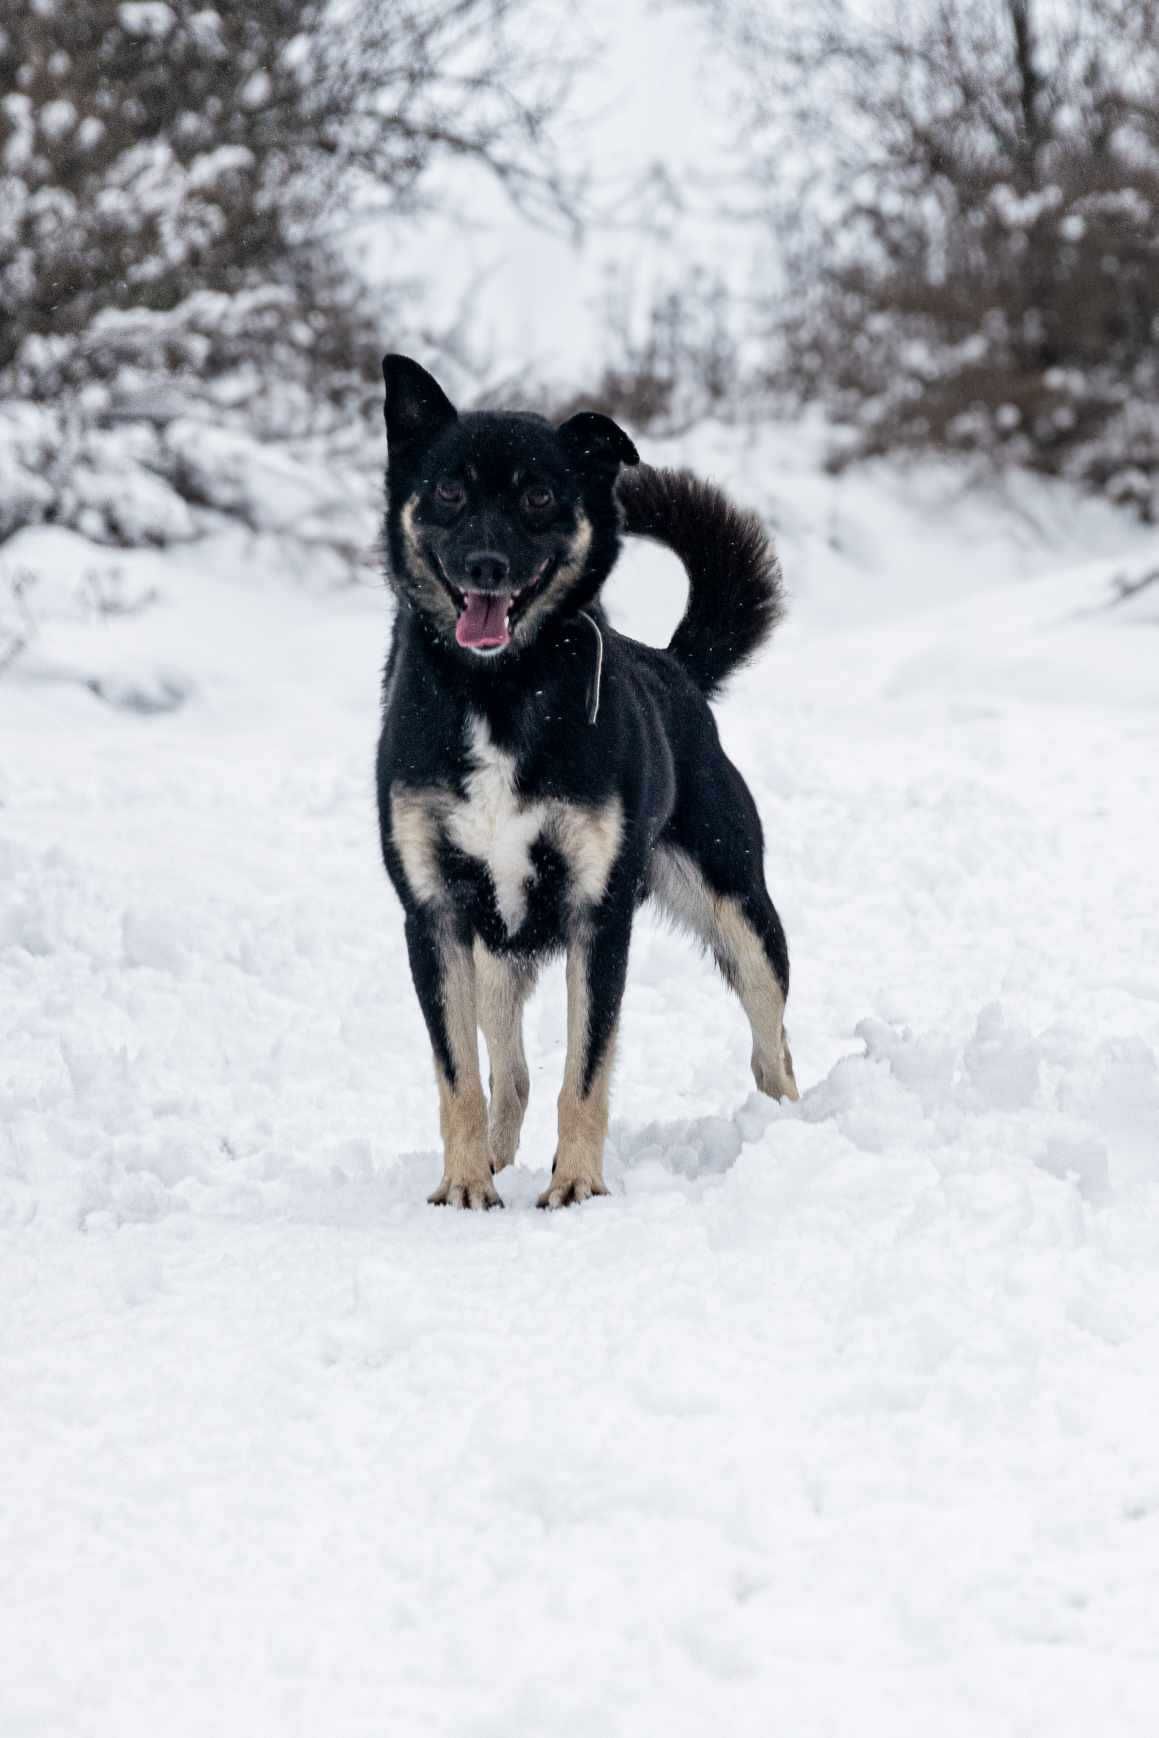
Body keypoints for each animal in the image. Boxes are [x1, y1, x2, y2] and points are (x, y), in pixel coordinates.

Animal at [377, 354, 802, 1209]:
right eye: (449, 492)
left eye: (539, 497)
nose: (485, 566)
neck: (501, 691)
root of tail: (675, 668)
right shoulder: (435, 918)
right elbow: (458, 1079)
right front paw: (463, 1186)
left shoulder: (597, 919)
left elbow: (586, 1073)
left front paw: (575, 1185)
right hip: (493, 960)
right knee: (508, 1077)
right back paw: (495, 1163)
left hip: (742, 915)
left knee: (771, 1048)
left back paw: (792, 1135)